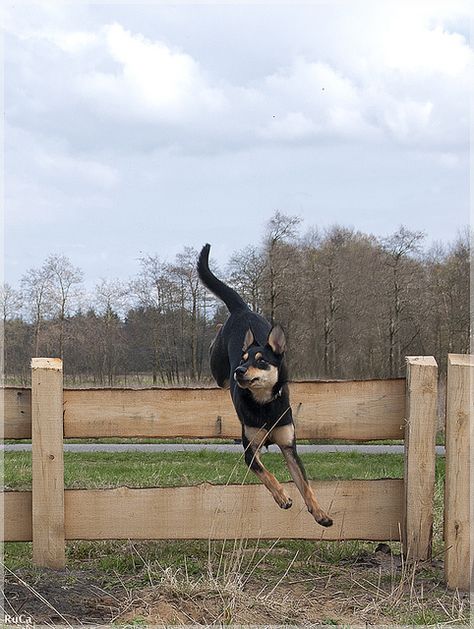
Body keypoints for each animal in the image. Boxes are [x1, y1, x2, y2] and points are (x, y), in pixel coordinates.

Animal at [196, 243, 334, 528]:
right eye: (243, 360)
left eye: (261, 361)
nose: (238, 371)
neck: (264, 404)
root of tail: (242, 310)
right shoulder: (250, 450)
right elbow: (266, 473)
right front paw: (282, 497)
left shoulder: (289, 447)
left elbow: (306, 484)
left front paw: (320, 513)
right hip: (218, 370)